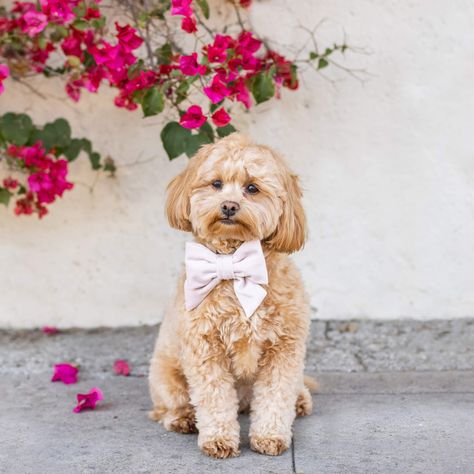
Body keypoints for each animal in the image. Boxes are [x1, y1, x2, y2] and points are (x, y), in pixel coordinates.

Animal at [147, 133, 312, 460]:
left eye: (252, 188)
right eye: (216, 183)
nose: (229, 205)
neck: (233, 264)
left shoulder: (284, 348)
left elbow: (276, 395)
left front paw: (270, 436)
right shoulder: (205, 348)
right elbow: (214, 398)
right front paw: (219, 439)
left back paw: (300, 399)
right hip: (165, 374)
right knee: (169, 406)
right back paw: (183, 418)